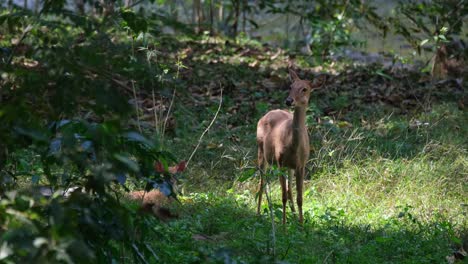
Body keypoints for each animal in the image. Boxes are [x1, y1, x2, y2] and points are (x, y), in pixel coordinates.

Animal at [256, 69, 326, 224]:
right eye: (290, 86)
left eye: (304, 89)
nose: (289, 101)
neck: (293, 146)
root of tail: (267, 113)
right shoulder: (280, 162)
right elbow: (282, 196)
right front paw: (283, 226)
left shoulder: (301, 165)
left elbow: (299, 197)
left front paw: (301, 224)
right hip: (261, 150)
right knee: (262, 184)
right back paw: (257, 215)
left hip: (288, 167)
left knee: (289, 190)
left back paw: (293, 215)